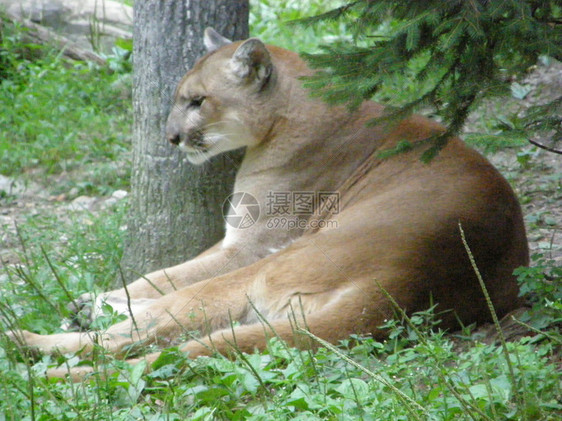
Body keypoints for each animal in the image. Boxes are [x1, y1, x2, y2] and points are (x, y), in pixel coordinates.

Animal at [15, 27, 528, 378]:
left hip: (271, 267)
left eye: (197, 101)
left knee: (159, 323)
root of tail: (403, 287)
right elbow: (161, 273)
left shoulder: (247, 247)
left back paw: (41, 336)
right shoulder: (234, 240)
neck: (291, 109)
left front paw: (99, 298)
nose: (171, 137)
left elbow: (170, 277)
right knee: (156, 337)